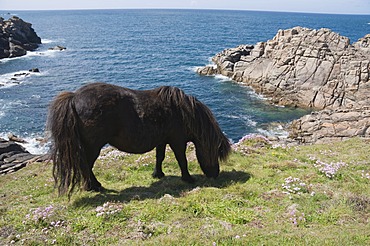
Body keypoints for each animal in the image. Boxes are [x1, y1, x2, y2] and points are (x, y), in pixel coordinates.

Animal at [47, 82, 230, 196]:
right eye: (215, 152)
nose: (215, 174)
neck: (182, 112)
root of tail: (74, 97)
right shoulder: (177, 141)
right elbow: (182, 160)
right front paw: (188, 178)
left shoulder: (162, 140)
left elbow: (159, 157)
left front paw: (158, 174)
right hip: (93, 147)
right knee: (86, 166)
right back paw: (93, 186)